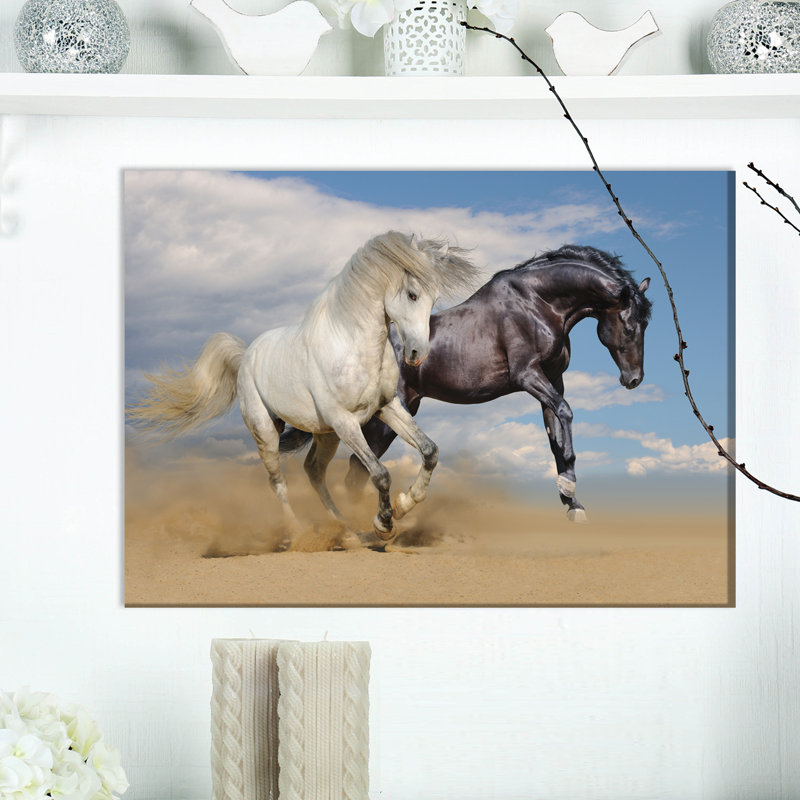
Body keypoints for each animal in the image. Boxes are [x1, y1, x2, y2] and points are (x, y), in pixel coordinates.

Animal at [127, 231, 479, 550]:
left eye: (434, 298)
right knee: (278, 482)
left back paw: (346, 534)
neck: (354, 347)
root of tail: (246, 355)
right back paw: (299, 534)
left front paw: (405, 503)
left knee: (313, 472)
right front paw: (384, 525)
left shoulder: (386, 407)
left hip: (325, 435)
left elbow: (430, 451)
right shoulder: (345, 421)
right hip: (268, 432)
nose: (418, 354)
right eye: (412, 295)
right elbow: (380, 473)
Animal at [336, 244, 652, 522]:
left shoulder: (553, 379)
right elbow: (566, 412)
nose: (633, 379)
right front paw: (569, 487)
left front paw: (572, 504)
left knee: (358, 468)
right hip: (387, 417)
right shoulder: (528, 375)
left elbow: (556, 439)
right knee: (358, 468)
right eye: (629, 327)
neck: (539, 303)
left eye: (646, 324)